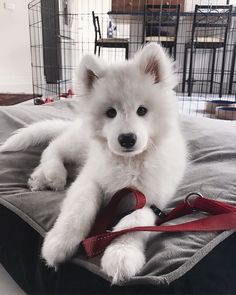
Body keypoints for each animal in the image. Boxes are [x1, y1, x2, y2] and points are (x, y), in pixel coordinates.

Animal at [0, 43, 187, 284]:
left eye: (142, 110)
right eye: (111, 113)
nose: (127, 139)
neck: (128, 162)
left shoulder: (150, 200)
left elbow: (134, 222)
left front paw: (122, 254)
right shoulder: (90, 179)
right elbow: (80, 209)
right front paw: (60, 242)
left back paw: (39, 179)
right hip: (80, 144)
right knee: (53, 147)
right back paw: (52, 174)